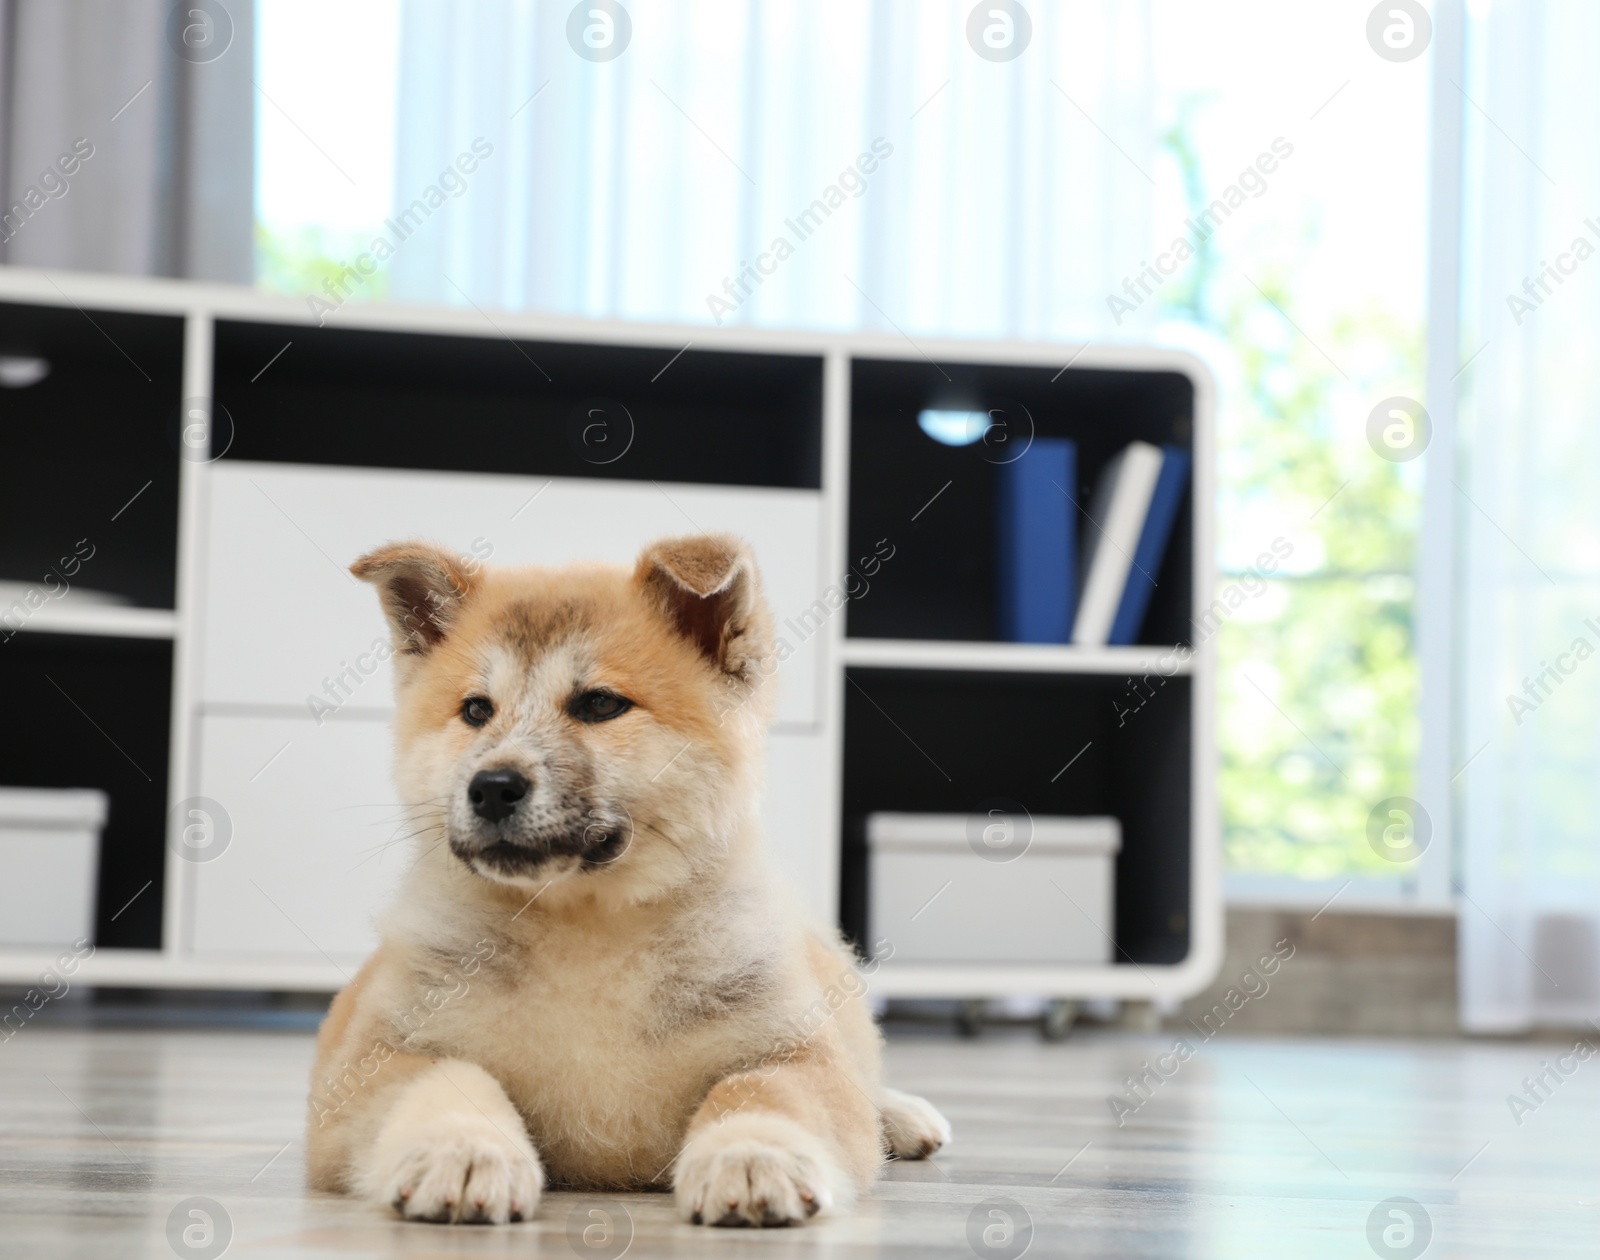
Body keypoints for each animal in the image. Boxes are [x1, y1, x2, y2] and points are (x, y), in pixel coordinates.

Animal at [305, 537, 940, 1228]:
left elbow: (757, 1092)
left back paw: (903, 1117)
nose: (492, 787)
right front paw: (462, 1151)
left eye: (601, 705)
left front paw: (751, 1157)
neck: (586, 928)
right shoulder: (375, 1060)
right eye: (476, 710)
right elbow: (453, 1081)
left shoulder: (793, 1053)